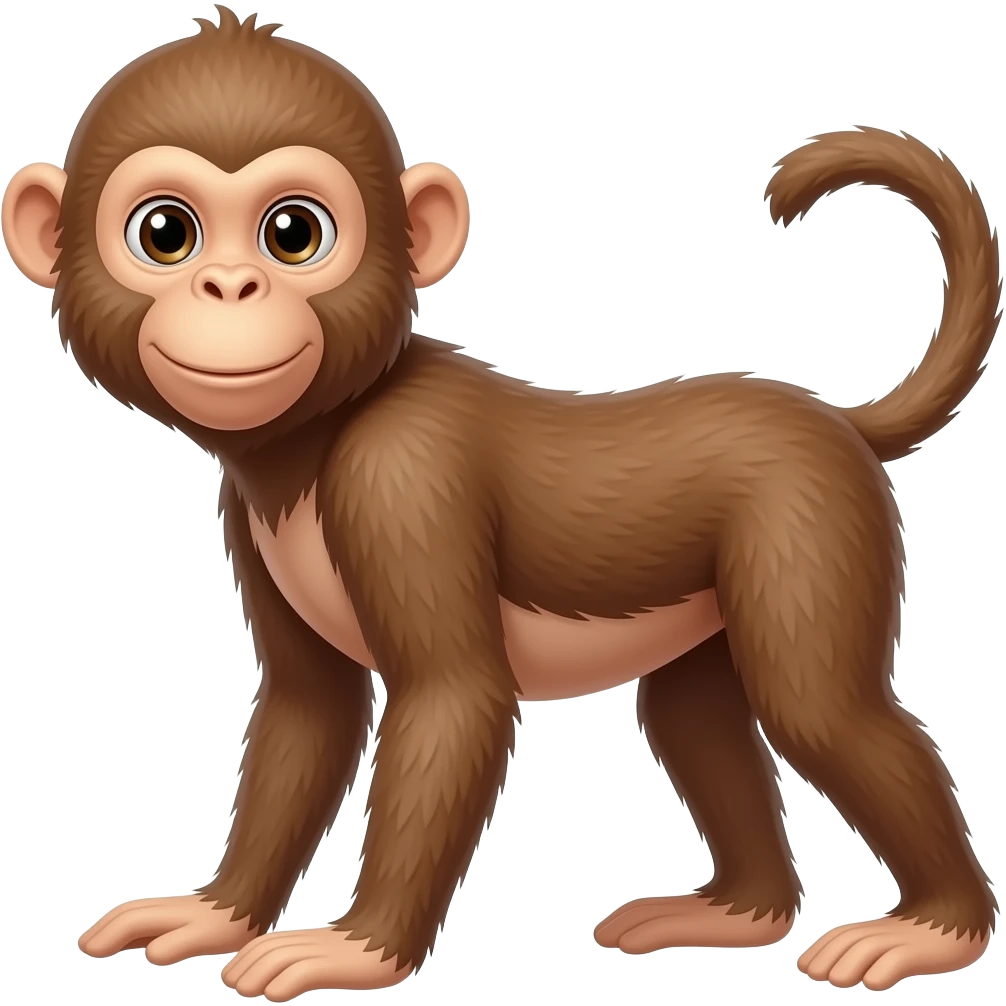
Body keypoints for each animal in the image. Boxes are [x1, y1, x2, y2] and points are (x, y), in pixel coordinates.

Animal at [3, 7, 999, 998]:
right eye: (166, 234)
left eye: (294, 233)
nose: (230, 287)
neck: (318, 435)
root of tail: (830, 418)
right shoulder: (245, 514)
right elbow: (308, 710)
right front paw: (216, 912)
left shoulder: (402, 479)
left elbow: (455, 698)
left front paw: (356, 949)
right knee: (692, 716)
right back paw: (736, 912)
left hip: (810, 520)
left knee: (818, 708)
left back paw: (937, 928)